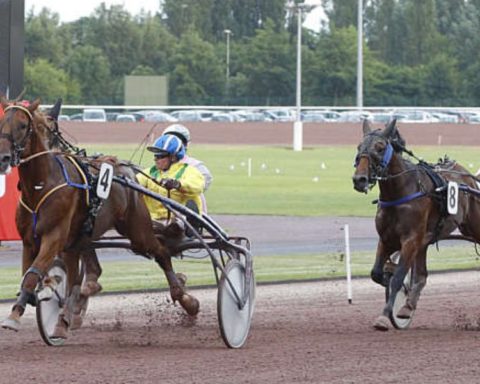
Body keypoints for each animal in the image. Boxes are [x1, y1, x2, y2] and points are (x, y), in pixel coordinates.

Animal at [0, 97, 199, 338]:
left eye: (22, 125)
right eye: (1, 122)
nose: (3, 157)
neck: (42, 185)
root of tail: (127, 173)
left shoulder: (55, 237)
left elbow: (35, 275)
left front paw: (20, 317)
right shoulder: (33, 241)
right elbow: (32, 275)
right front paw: (36, 305)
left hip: (137, 230)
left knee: (161, 252)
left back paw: (186, 298)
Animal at [350, 119, 480, 330]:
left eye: (380, 147)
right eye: (359, 146)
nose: (359, 179)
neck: (400, 192)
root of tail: (469, 177)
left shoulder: (411, 240)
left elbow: (397, 278)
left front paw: (384, 317)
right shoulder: (386, 239)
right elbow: (377, 273)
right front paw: (389, 279)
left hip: (473, 226)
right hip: (425, 240)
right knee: (421, 276)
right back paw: (407, 307)